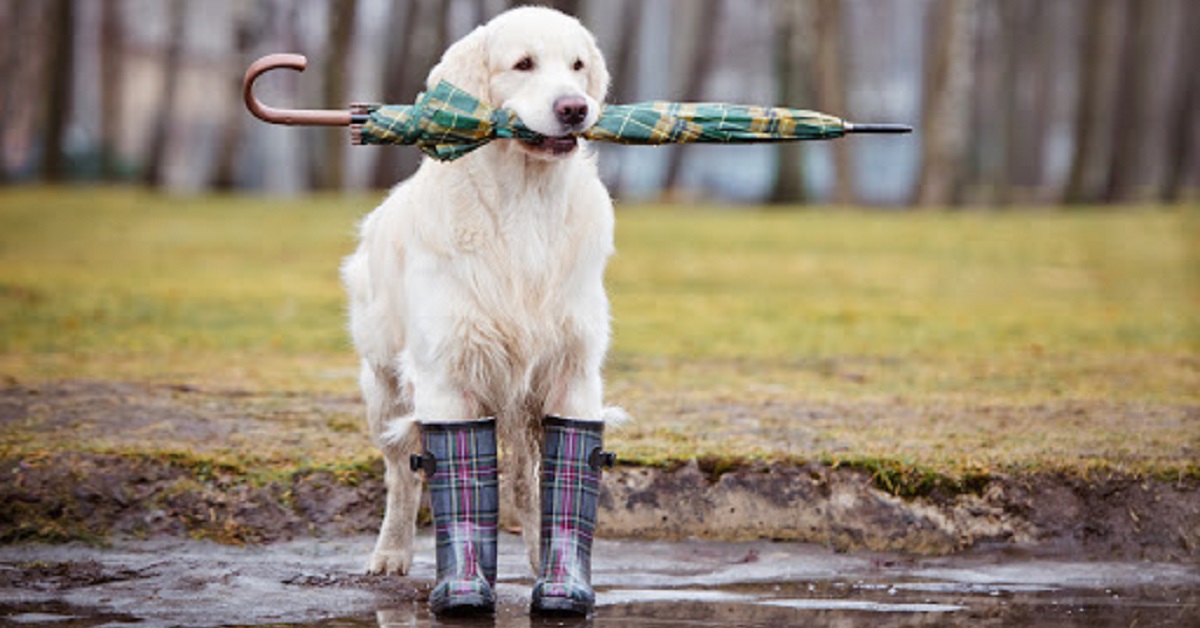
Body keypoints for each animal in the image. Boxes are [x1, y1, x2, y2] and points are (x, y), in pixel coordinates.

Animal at [338, 6, 619, 573]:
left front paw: (558, 572)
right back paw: (391, 552)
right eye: (524, 63)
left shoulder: (573, 371)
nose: (575, 108)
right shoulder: (447, 374)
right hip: (383, 387)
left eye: (577, 65)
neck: (526, 203)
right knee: (401, 474)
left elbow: (553, 481)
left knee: (525, 482)